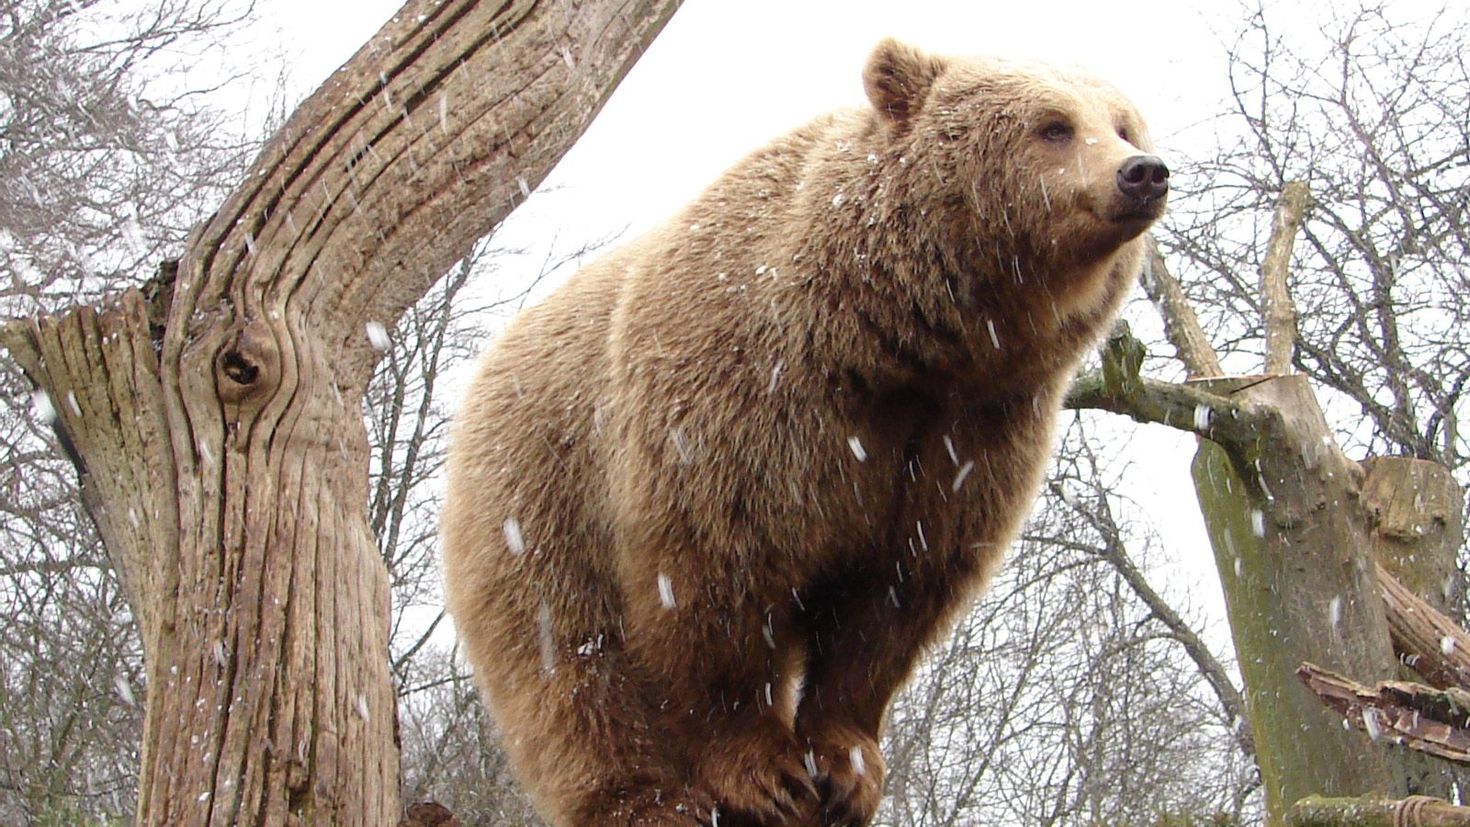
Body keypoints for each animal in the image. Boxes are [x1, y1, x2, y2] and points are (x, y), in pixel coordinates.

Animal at [441, 38, 1164, 827]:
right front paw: (766, 771)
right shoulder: (743, 404)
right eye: (1054, 125)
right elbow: (712, 577)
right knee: (567, 657)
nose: (1142, 172)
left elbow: (896, 597)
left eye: (1123, 123)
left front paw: (847, 763)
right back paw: (645, 798)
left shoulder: (971, 436)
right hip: (540, 488)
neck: (897, 345)